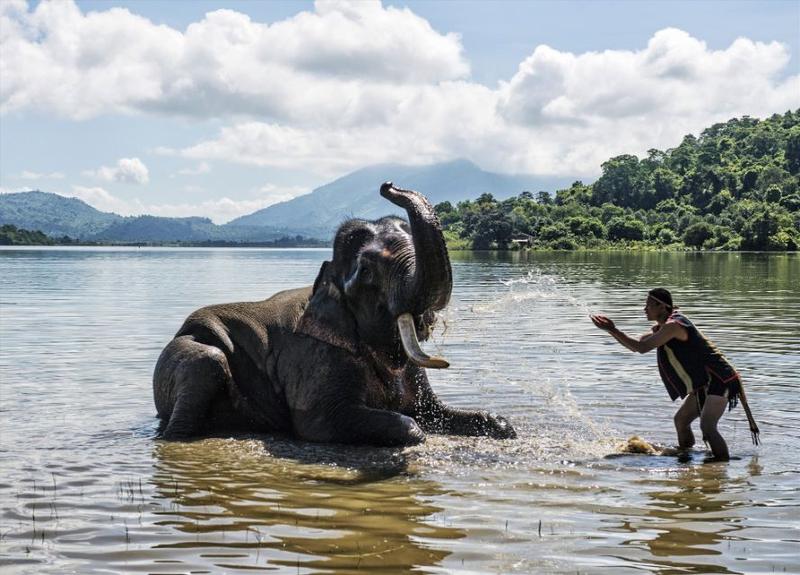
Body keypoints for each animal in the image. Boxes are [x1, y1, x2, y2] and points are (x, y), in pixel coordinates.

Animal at [153, 182, 516, 446]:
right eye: (366, 272)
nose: (387, 185)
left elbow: (432, 410)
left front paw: (503, 425)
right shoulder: (315, 355)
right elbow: (321, 421)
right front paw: (415, 432)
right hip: (184, 355)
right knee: (207, 362)